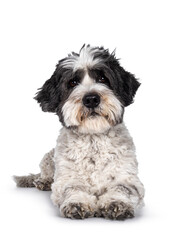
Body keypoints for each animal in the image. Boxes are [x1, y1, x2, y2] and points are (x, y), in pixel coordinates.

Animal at [14, 44, 146, 219]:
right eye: (72, 82)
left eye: (103, 78)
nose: (91, 99)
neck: (93, 142)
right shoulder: (66, 178)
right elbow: (73, 187)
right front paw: (76, 203)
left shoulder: (128, 178)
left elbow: (122, 187)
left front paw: (117, 203)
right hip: (48, 158)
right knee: (45, 174)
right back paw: (43, 181)